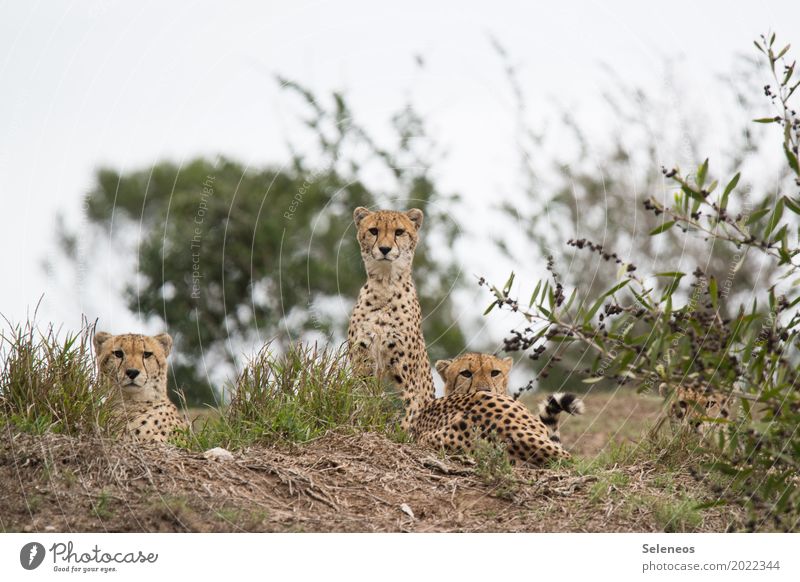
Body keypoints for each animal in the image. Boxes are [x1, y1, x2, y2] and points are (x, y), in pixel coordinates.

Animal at [346, 208, 434, 432]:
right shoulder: (363, 364)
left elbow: (404, 413)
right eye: (373, 230)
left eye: (399, 232)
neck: (384, 285)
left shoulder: (404, 377)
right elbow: (362, 400)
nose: (385, 249)